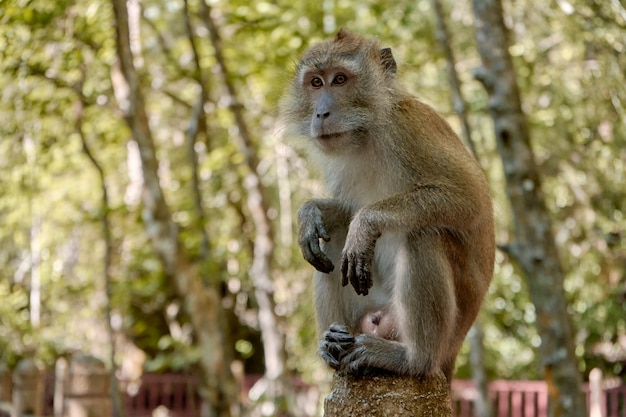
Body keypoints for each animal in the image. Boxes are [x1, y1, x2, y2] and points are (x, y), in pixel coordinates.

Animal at [278, 27, 492, 382]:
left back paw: (413, 360)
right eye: (316, 83)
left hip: (444, 332)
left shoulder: (409, 130)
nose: (321, 114)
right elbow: (344, 211)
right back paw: (332, 342)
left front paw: (366, 223)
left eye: (340, 79)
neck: (366, 132)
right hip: (369, 309)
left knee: (423, 235)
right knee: (332, 244)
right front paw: (309, 214)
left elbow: (470, 198)